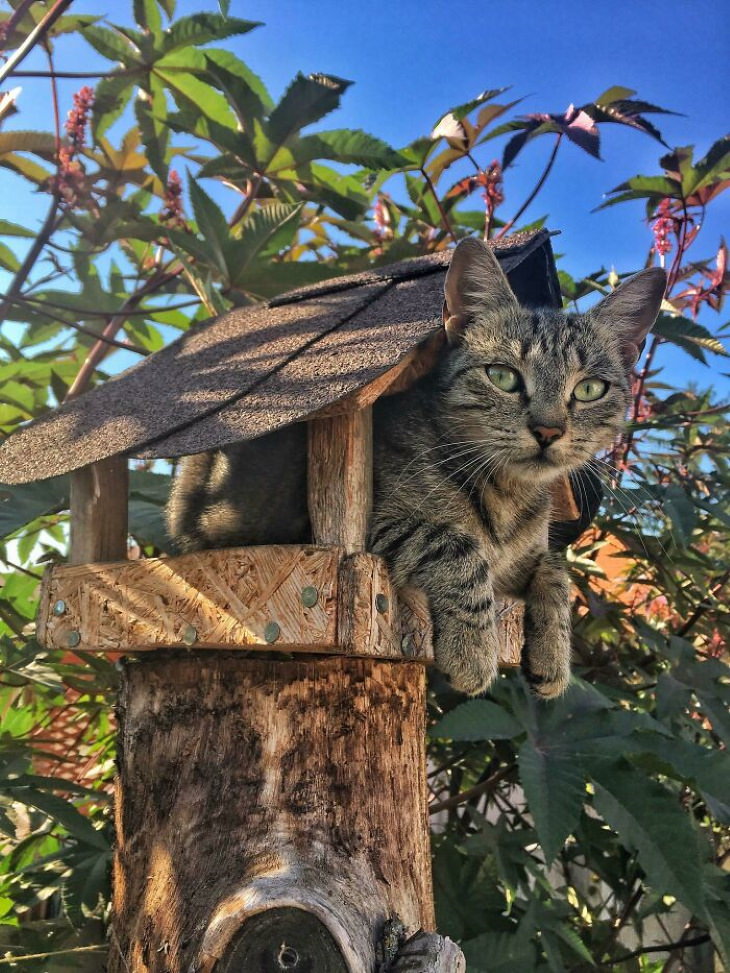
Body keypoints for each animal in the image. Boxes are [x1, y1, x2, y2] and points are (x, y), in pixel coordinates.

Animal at [166, 240, 664, 704]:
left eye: (590, 389)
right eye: (503, 376)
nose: (548, 430)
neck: (508, 493)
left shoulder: (524, 559)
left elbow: (556, 572)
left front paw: (553, 657)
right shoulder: (382, 527)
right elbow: (458, 548)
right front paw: (473, 652)